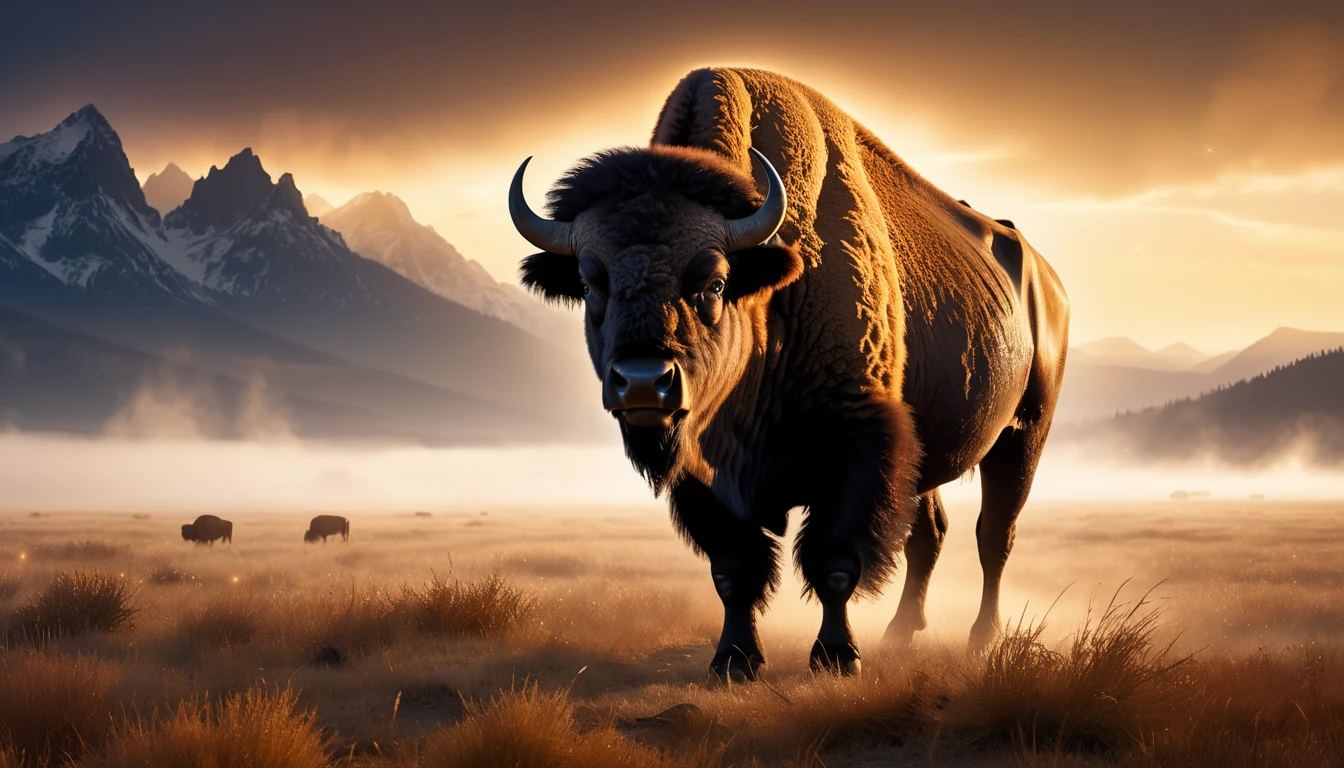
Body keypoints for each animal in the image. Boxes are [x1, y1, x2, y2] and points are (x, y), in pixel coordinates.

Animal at [509, 68, 1069, 679]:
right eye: (591, 285)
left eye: (714, 282)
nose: (641, 382)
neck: (772, 292)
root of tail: (1047, 280)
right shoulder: (703, 473)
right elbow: (735, 568)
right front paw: (733, 660)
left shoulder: (858, 443)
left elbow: (833, 562)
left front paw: (836, 657)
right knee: (930, 533)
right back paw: (900, 634)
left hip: (1024, 434)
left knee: (994, 534)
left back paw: (980, 639)